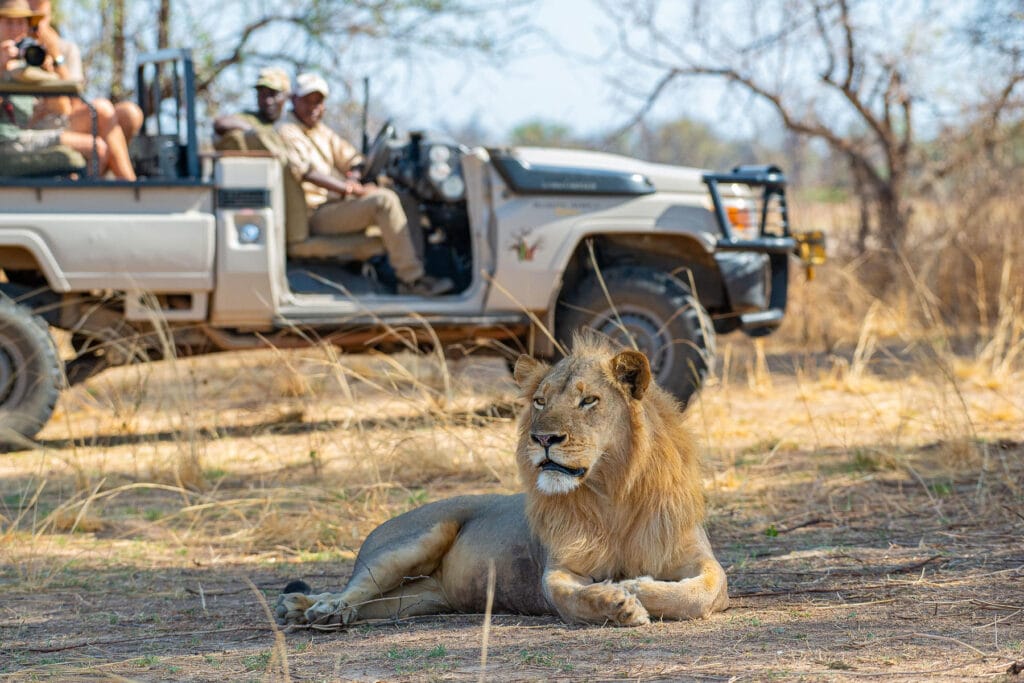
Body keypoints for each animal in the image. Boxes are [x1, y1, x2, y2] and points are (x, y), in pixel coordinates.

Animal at [274, 333, 729, 626]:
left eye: (588, 400)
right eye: (540, 401)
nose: (543, 438)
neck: (611, 492)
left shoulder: (700, 560)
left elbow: (700, 591)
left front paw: (635, 586)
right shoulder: (556, 569)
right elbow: (568, 595)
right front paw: (617, 602)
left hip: (414, 601)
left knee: (369, 602)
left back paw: (302, 606)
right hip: (412, 541)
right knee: (352, 588)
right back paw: (317, 610)